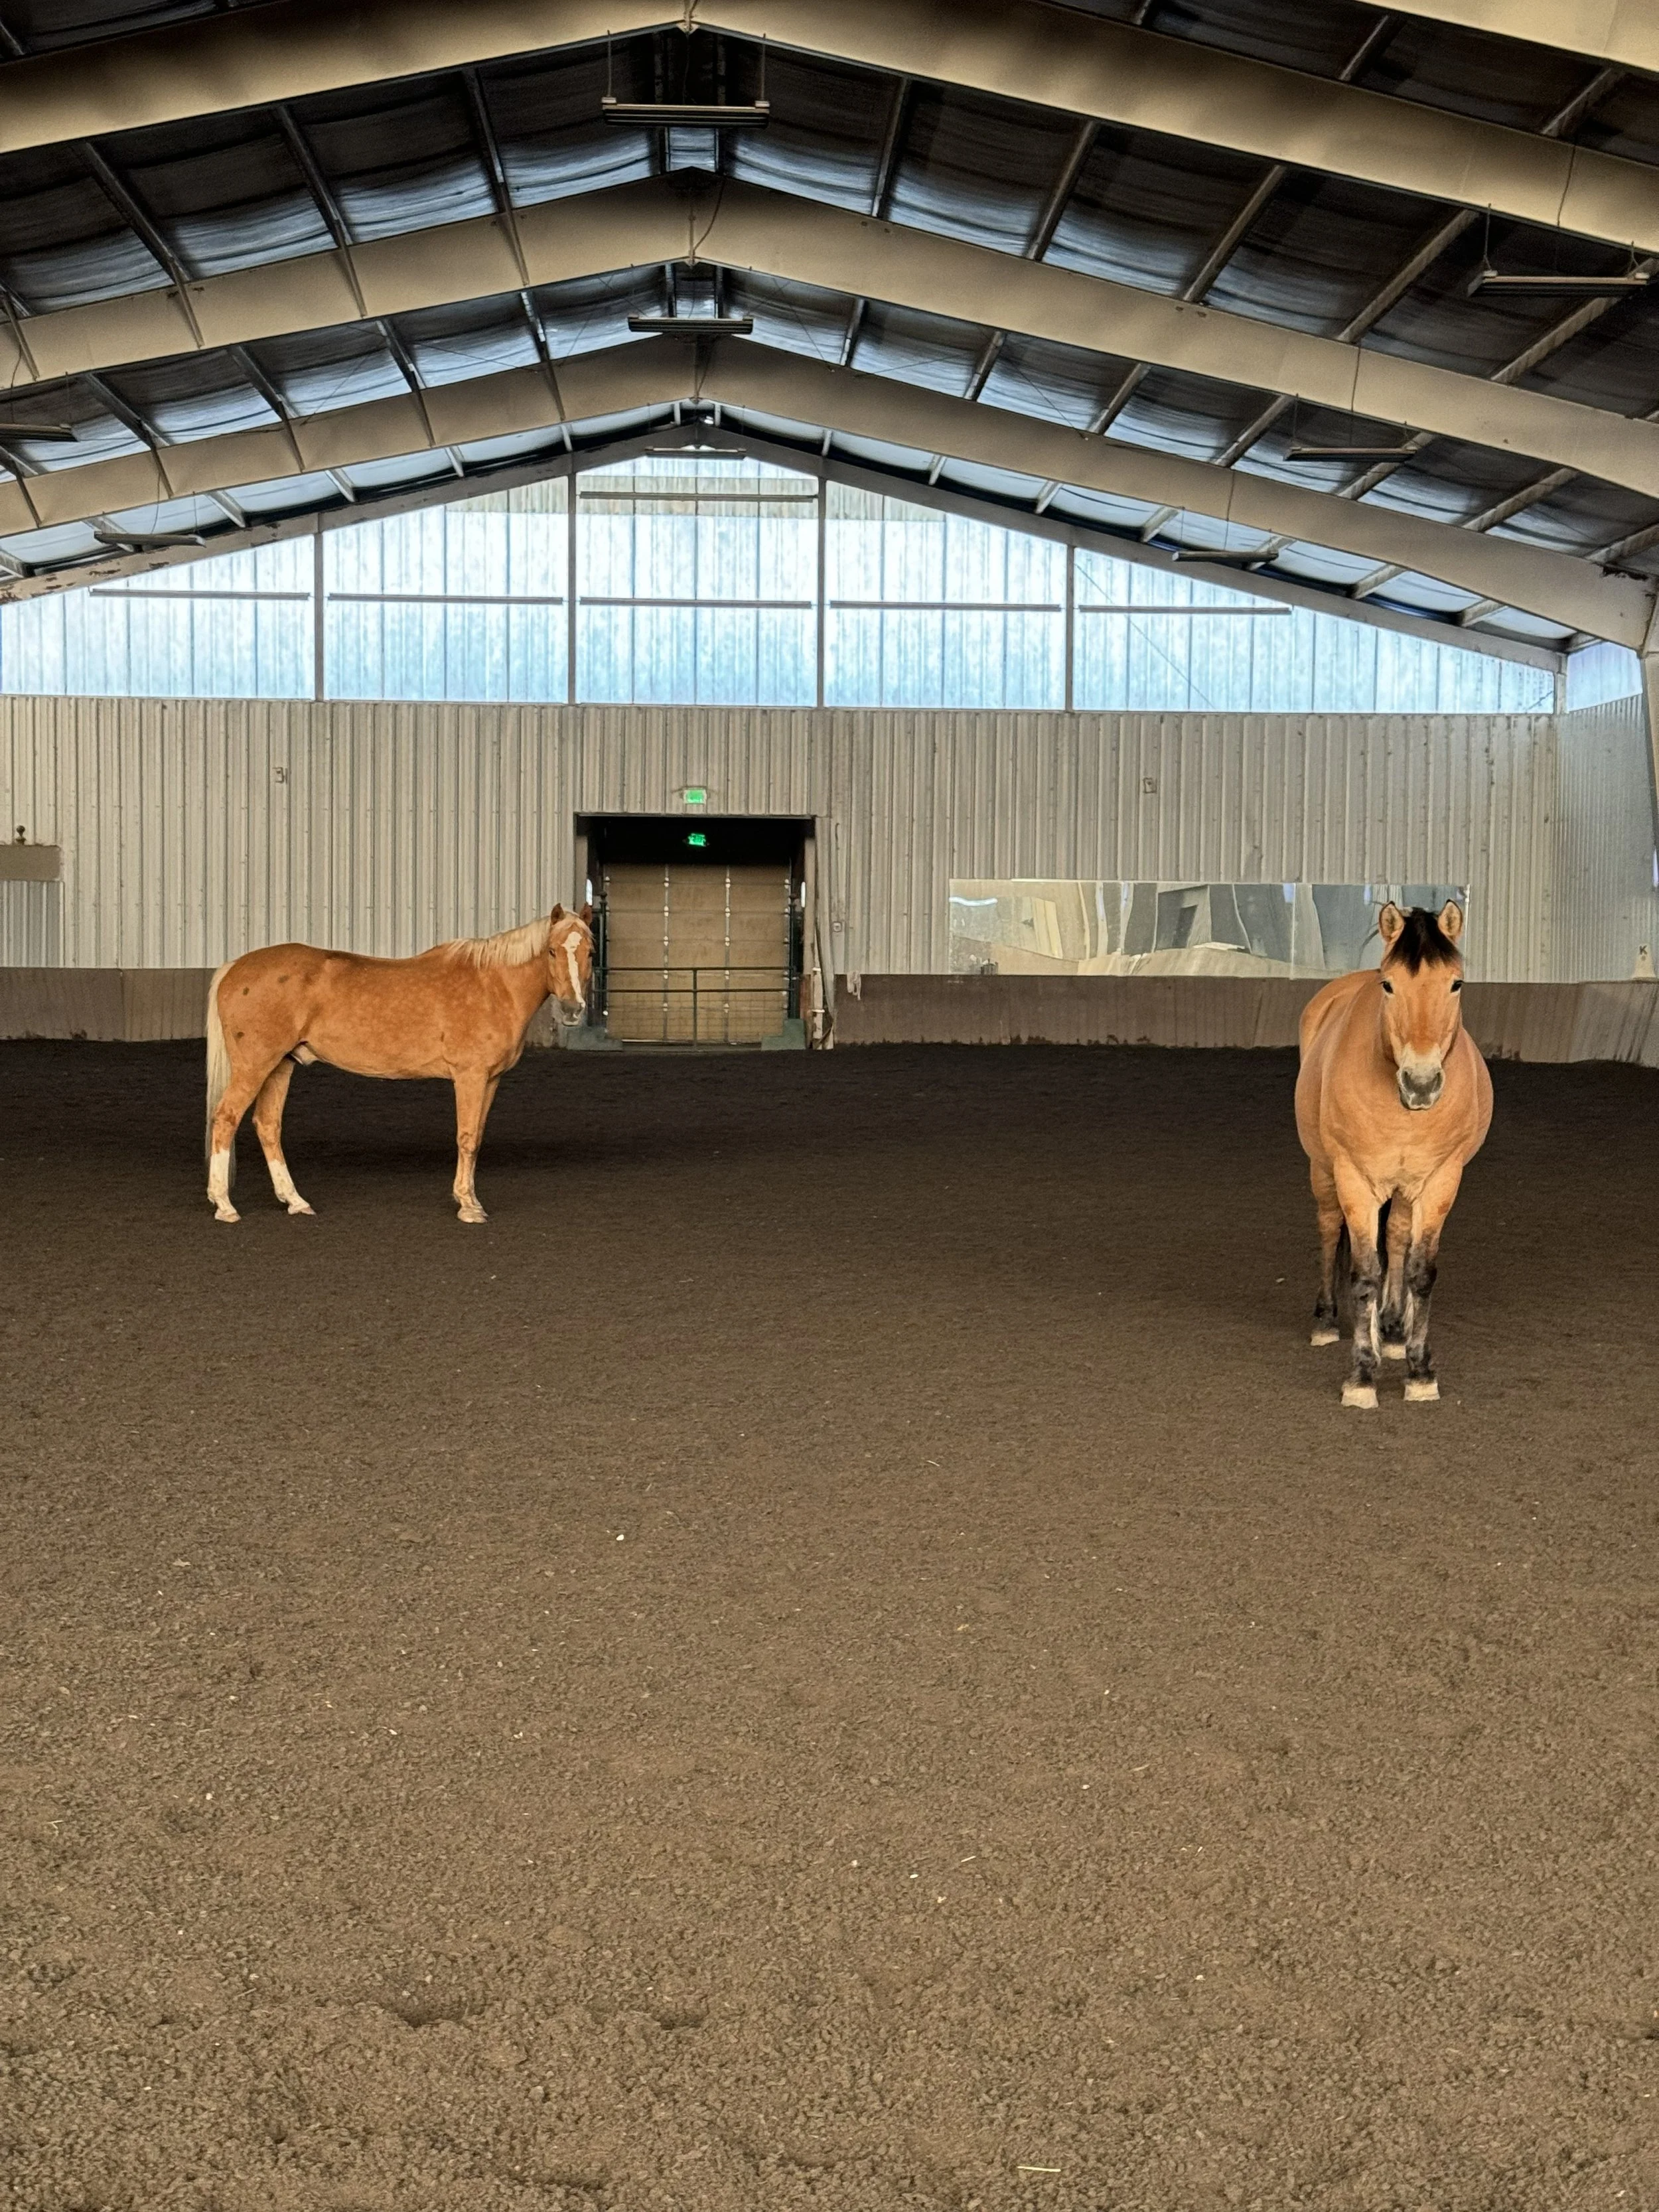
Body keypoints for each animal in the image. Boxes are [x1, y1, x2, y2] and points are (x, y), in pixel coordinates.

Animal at [204, 905, 593, 1226]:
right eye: (552, 951)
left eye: (589, 951)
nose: (573, 1009)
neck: (493, 985)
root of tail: (234, 968)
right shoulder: (470, 1076)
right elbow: (466, 1138)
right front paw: (468, 1206)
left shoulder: (492, 1080)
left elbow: (478, 1137)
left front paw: (469, 1198)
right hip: (255, 1066)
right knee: (226, 1118)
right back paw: (224, 1205)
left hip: (281, 1065)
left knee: (268, 1126)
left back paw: (295, 1202)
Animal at [1295, 900, 1492, 1409]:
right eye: (1389, 985)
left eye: (1456, 983)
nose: (1420, 1083)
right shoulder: (1355, 1181)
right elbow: (1365, 1272)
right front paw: (1363, 1376)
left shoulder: (1441, 1182)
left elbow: (1419, 1271)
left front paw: (1420, 1371)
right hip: (1323, 1172)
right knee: (1329, 1230)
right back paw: (1326, 1319)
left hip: (1406, 1191)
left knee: (1399, 1237)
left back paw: (1392, 1328)